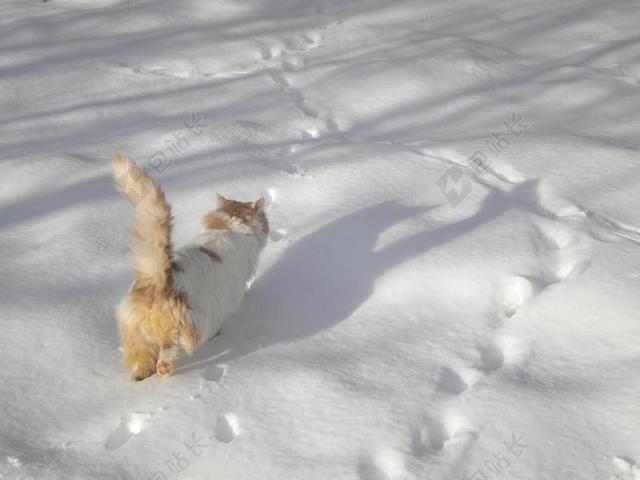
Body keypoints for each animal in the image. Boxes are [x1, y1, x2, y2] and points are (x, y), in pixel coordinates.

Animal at [112, 156, 268, 380]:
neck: (230, 227)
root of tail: (158, 280)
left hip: (138, 338)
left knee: (143, 362)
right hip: (191, 325)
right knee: (167, 357)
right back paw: (166, 369)